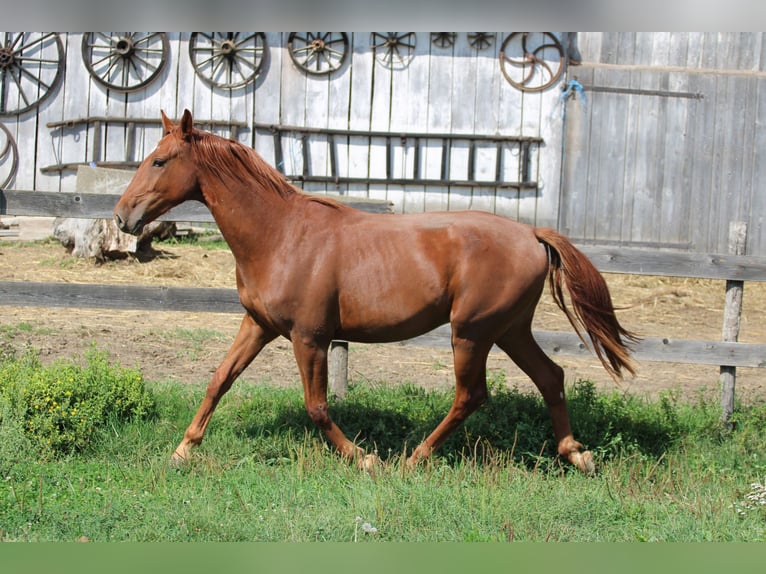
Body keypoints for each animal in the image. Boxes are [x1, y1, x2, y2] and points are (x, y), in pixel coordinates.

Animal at [114, 110, 640, 474]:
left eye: (159, 160)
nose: (122, 217)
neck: (281, 235)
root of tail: (532, 233)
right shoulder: (258, 325)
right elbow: (219, 379)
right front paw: (183, 449)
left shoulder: (310, 337)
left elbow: (317, 407)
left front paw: (365, 459)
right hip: (509, 329)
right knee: (551, 377)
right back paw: (577, 454)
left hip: (472, 333)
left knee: (471, 396)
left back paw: (414, 459)